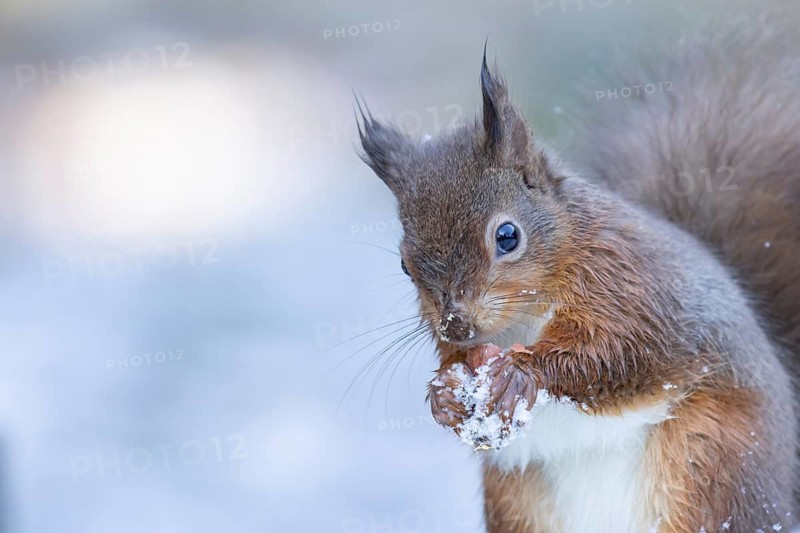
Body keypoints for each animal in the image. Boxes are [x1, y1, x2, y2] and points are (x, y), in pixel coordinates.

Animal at [356, 21, 800, 533]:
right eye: (403, 264)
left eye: (507, 236)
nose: (455, 323)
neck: (526, 314)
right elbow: (453, 363)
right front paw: (445, 396)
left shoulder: (632, 285)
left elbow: (618, 353)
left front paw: (522, 372)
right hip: (518, 501)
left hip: (708, 463)